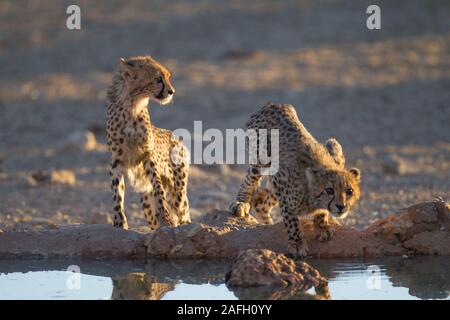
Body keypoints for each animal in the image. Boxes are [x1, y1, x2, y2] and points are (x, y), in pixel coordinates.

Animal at [107, 55, 190, 230]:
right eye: (158, 79)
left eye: (168, 77)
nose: (172, 92)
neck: (132, 105)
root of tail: (175, 136)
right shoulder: (116, 160)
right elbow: (117, 192)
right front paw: (119, 222)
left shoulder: (148, 156)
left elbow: (158, 189)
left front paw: (165, 218)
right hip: (146, 201)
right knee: (153, 216)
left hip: (177, 189)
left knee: (182, 210)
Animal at [230, 104, 360, 258]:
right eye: (329, 190)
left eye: (349, 191)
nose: (341, 206)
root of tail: (274, 104)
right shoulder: (281, 179)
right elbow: (291, 219)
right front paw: (297, 244)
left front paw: (322, 226)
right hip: (260, 160)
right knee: (250, 181)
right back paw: (240, 204)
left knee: (260, 201)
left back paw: (267, 224)